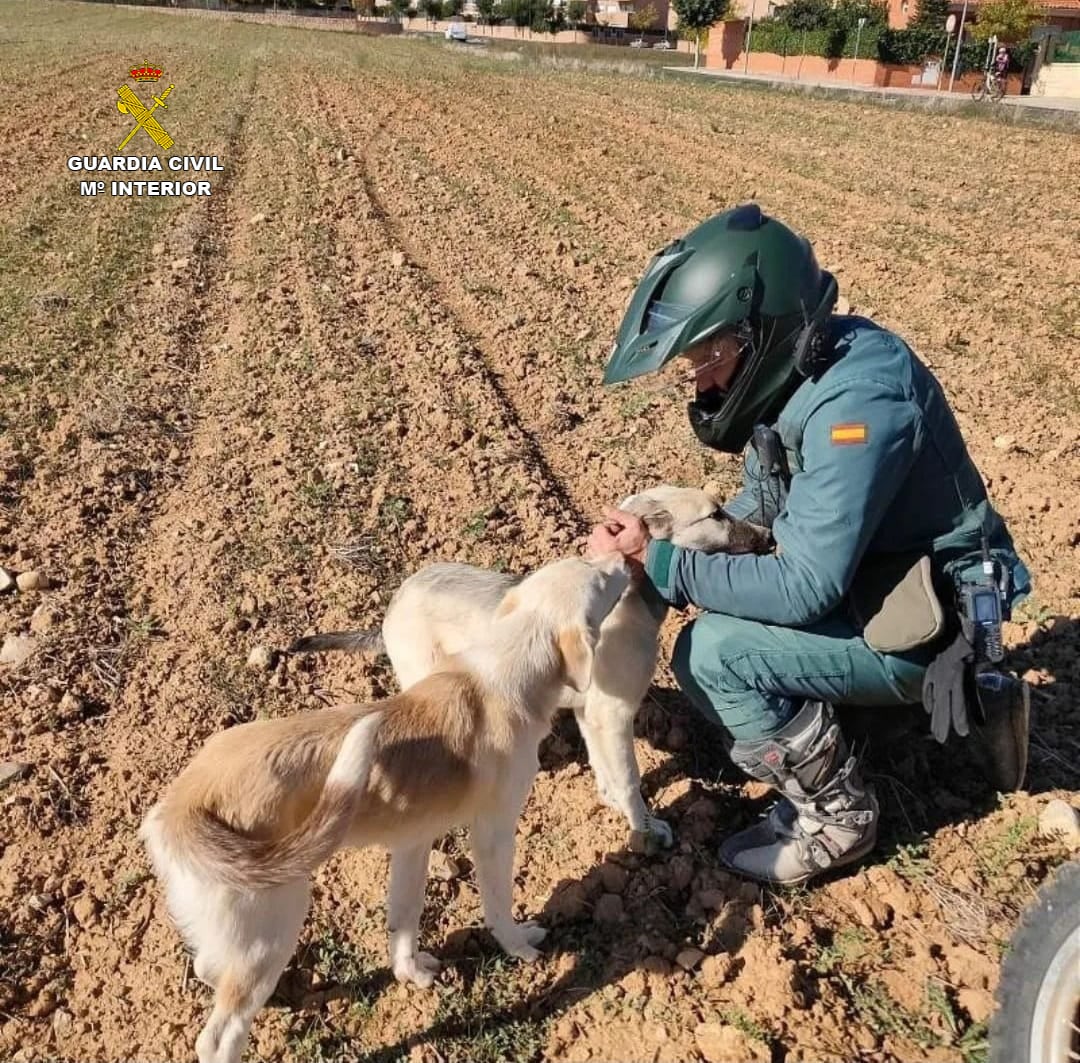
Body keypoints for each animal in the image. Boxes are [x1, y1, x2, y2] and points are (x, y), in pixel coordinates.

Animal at [143, 553, 630, 1063]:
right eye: (600, 578)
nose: (622, 557)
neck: (506, 668)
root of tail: (184, 805)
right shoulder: (493, 834)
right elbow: (498, 906)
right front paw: (520, 947)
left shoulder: (412, 842)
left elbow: (404, 918)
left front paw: (411, 974)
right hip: (274, 924)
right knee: (219, 1036)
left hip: (235, 928)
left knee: (208, 966)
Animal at [291, 492, 773, 855]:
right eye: (716, 514)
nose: (770, 535)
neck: (632, 599)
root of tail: (392, 606)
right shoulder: (613, 715)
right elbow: (630, 782)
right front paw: (645, 832)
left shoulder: (592, 715)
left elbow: (606, 771)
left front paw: (614, 805)